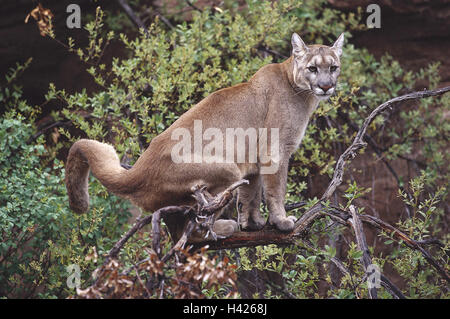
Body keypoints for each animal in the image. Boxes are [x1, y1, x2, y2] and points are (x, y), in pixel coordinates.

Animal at [65, 32, 344, 241]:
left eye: (333, 68)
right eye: (312, 68)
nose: (326, 86)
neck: (298, 89)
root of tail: (137, 171)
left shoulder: (252, 159)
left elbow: (251, 195)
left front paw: (252, 223)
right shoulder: (274, 152)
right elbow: (276, 190)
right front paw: (281, 221)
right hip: (226, 170)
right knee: (191, 229)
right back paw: (221, 229)